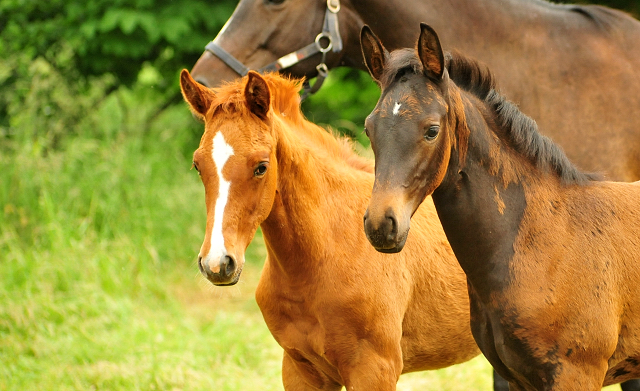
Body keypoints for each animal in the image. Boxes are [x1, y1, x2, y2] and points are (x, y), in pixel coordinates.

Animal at [360, 25, 640, 391]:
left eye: (432, 130)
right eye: (369, 128)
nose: (381, 224)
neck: (543, 240)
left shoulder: (577, 374)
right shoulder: (517, 378)